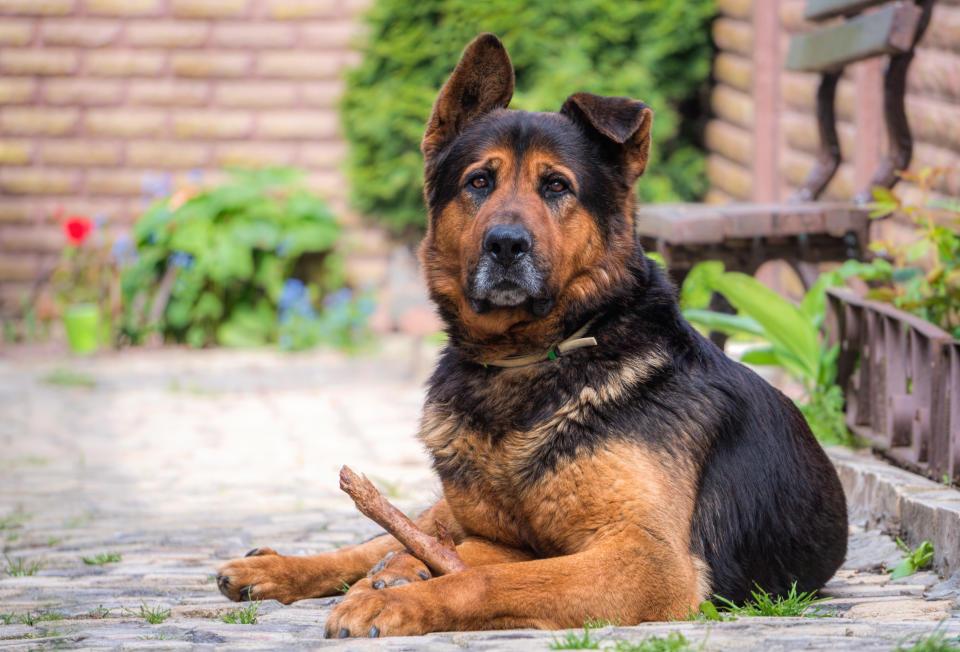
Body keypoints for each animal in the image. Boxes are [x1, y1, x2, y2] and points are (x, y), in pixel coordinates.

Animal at [214, 34, 844, 636]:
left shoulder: (646, 559)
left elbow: (483, 579)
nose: (506, 244)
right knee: (386, 537)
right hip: (446, 508)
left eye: (557, 186)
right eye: (479, 181)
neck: (528, 359)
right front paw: (389, 580)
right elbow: (442, 553)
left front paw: (398, 599)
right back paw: (272, 568)